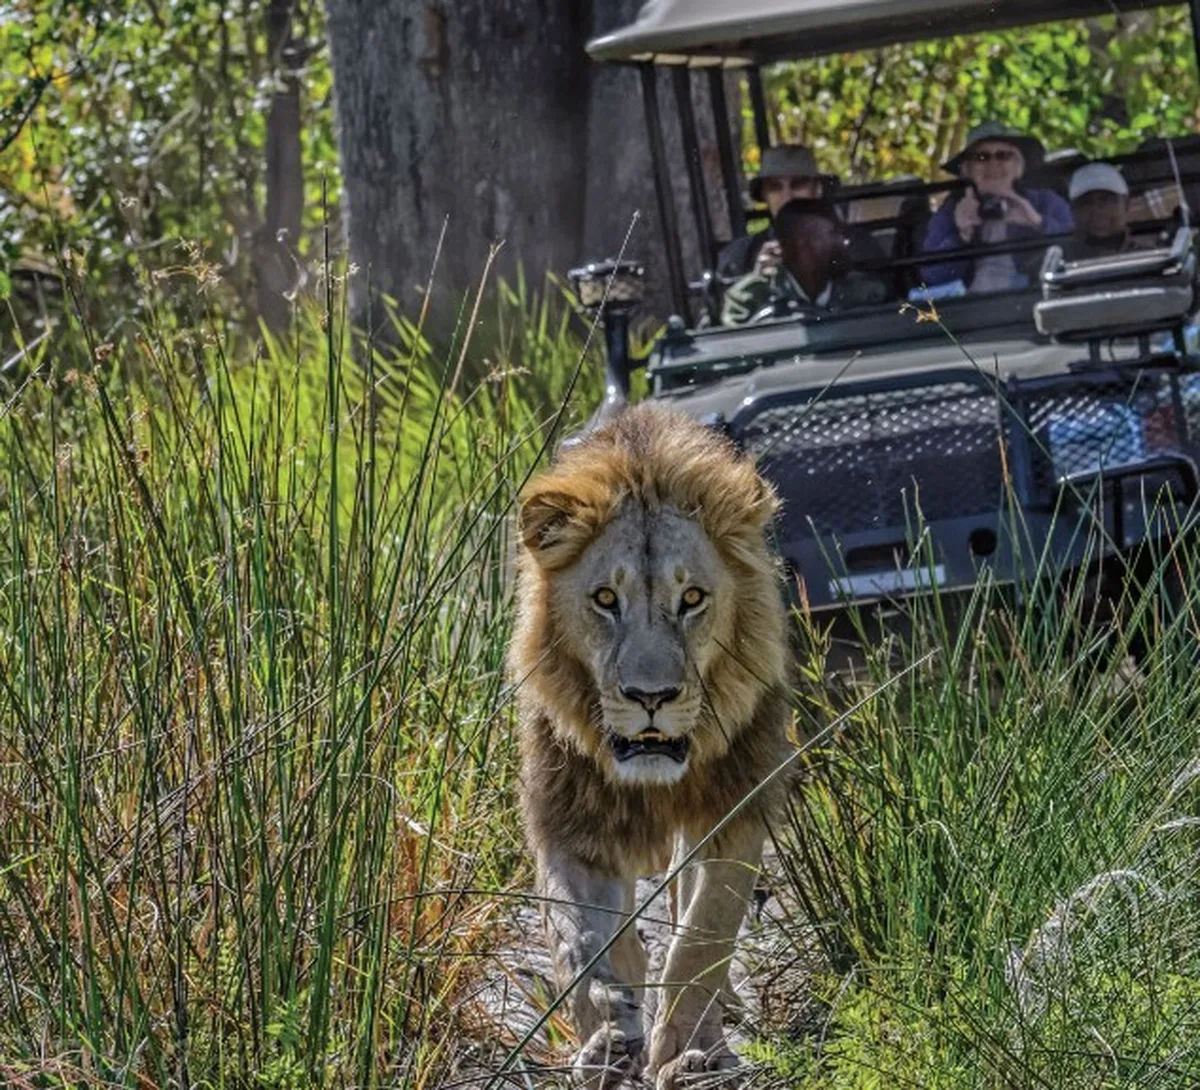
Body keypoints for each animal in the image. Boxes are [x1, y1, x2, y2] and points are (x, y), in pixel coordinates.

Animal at [509, 404, 792, 1088]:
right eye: (605, 600)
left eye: (691, 598)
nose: (651, 696)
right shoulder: (569, 824)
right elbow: (578, 941)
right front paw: (608, 1040)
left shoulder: (736, 808)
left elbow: (704, 932)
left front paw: (686, 1051)